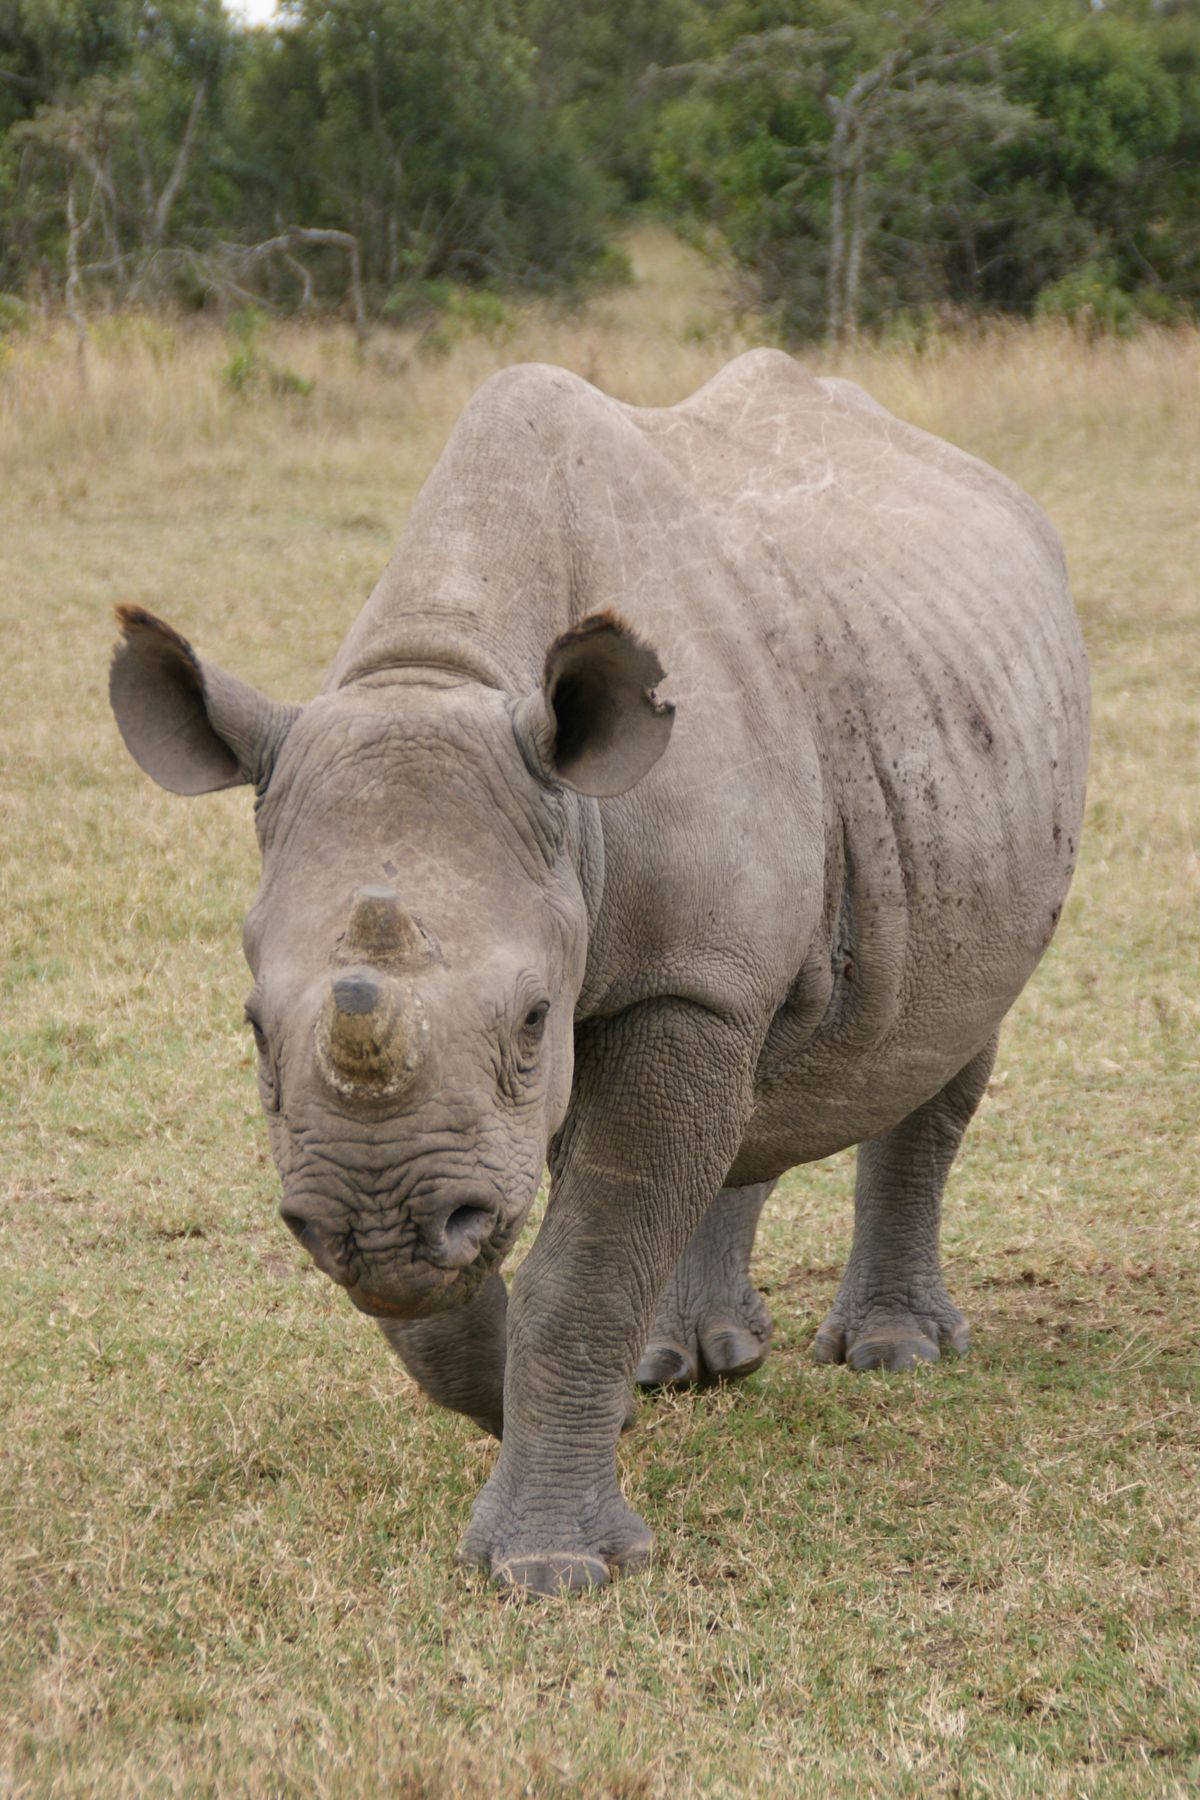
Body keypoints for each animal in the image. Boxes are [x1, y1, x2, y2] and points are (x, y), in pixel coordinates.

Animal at [109, 349, 1088, 1594]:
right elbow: (452, 1291)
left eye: (535, 1019)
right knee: (765, 1068)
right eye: (248, 1027)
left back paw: (893, 1352)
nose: (379, 1224)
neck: (443, 672)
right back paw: (695, 1361)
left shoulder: (683, 980)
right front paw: (589, 1409)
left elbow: (584, 1263)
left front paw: (552, 1567)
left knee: (939, 1037)